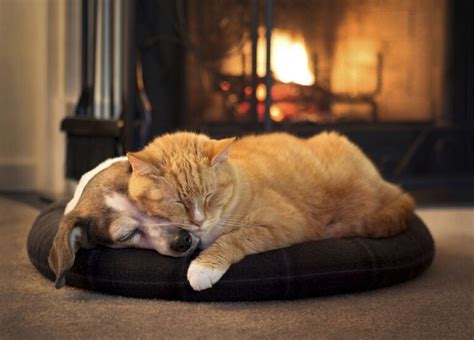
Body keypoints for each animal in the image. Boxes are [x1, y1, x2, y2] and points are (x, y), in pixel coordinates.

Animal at [127, 131, 414, 290]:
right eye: (179, 202)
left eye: (209, 196)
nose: (198, 221)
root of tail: (382, 180)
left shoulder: (287, 224)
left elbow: (234, 238)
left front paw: (203, 268)